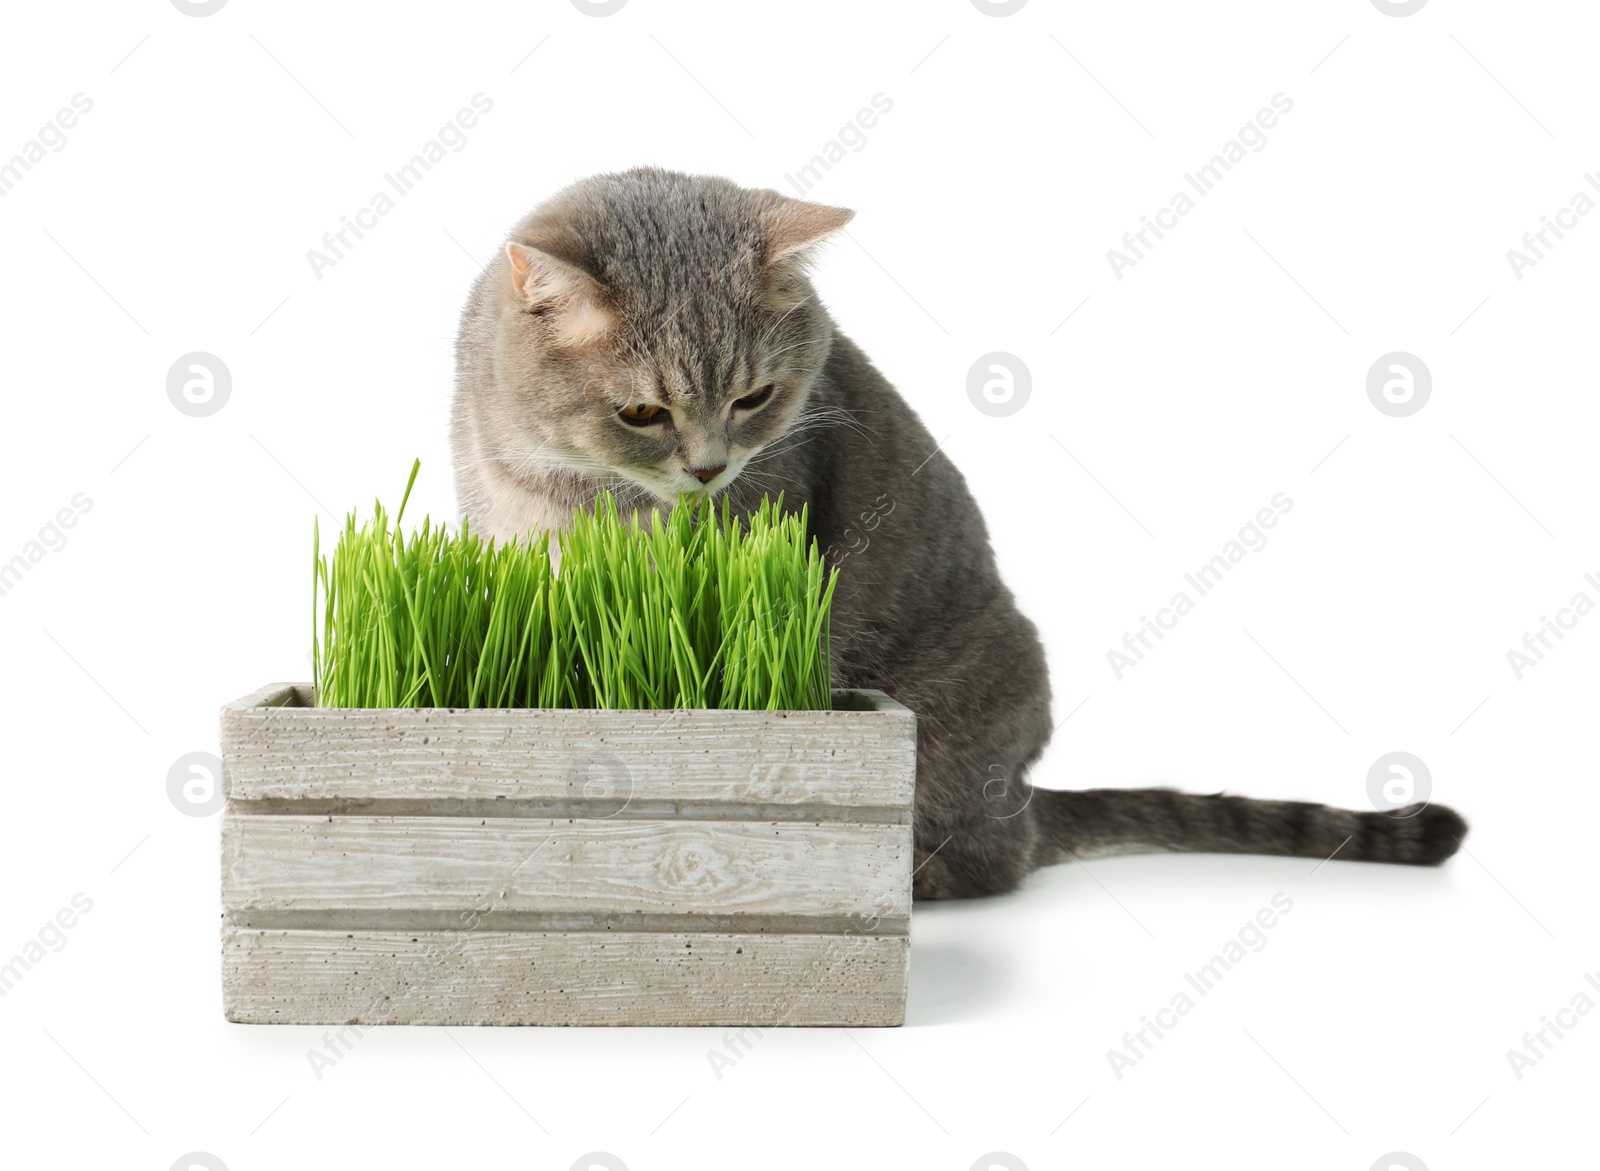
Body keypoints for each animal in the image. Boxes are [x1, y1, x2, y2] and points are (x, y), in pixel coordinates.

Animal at [448, 167, 1465, 895]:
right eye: (642, 412)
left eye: (754, 398)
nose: (709, 469)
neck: (575, 488)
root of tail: (1023, 797)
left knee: (988, 863)